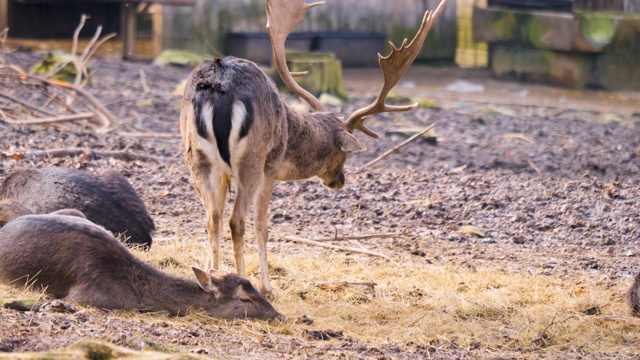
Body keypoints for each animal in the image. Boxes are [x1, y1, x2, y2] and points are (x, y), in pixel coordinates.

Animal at [180, 0, 450, 296]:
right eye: (344, 152)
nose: (339, 181)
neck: (289, 129)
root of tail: (218, 86)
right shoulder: (270, 165)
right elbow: (262, 225)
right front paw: (266, 286)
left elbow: (214, 218)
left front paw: (209, 273)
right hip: (251, 158)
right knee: (236, 220)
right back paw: (248, 284)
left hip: (196, 157)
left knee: (213, 218)